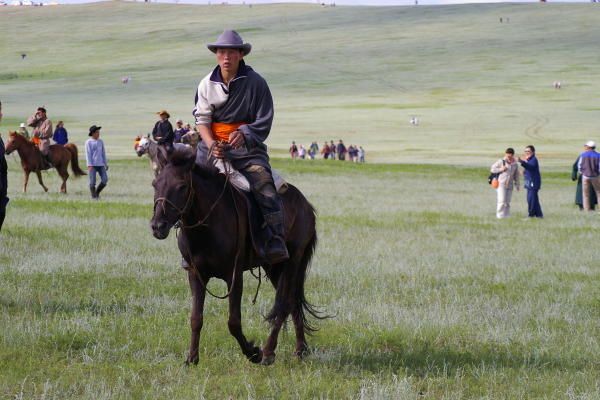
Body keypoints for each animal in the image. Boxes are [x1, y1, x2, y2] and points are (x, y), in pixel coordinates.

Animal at [149, 150, 324, 366]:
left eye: (181, 186)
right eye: (155, 184)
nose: (158, 226)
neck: (208, 225)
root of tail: (306, 205)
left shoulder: (234, 276)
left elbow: (233, 321)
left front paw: (253, 352)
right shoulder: (196, 275)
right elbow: (196, 318)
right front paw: (192, 358)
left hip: (293, 261)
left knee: (284, 303)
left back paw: (269, 352)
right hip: (274, 267)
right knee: (292, 302)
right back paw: (300, 350)